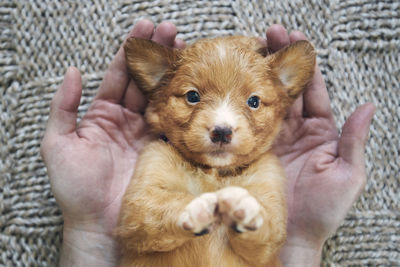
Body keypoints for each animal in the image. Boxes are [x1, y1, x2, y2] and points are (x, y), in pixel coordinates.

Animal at [115, 35, 316, 267]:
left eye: (253, 101)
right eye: (193, 96)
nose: (221, 132)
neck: (213, 173)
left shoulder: (271, 214)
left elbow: (264, 223)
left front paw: (244, 209)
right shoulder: (137, 208)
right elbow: (161, 206)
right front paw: (197, 208)